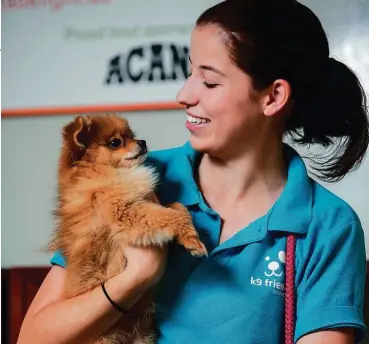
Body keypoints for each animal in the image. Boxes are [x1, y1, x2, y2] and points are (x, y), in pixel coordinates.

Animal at [46, 114, 206, 342]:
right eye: (116, 143)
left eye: (132, 136)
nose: (143, 142)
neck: (107, 173)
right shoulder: (125, 213)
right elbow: (170, 216)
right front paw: (194, 241)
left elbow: (177, 207)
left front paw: (190, 237)